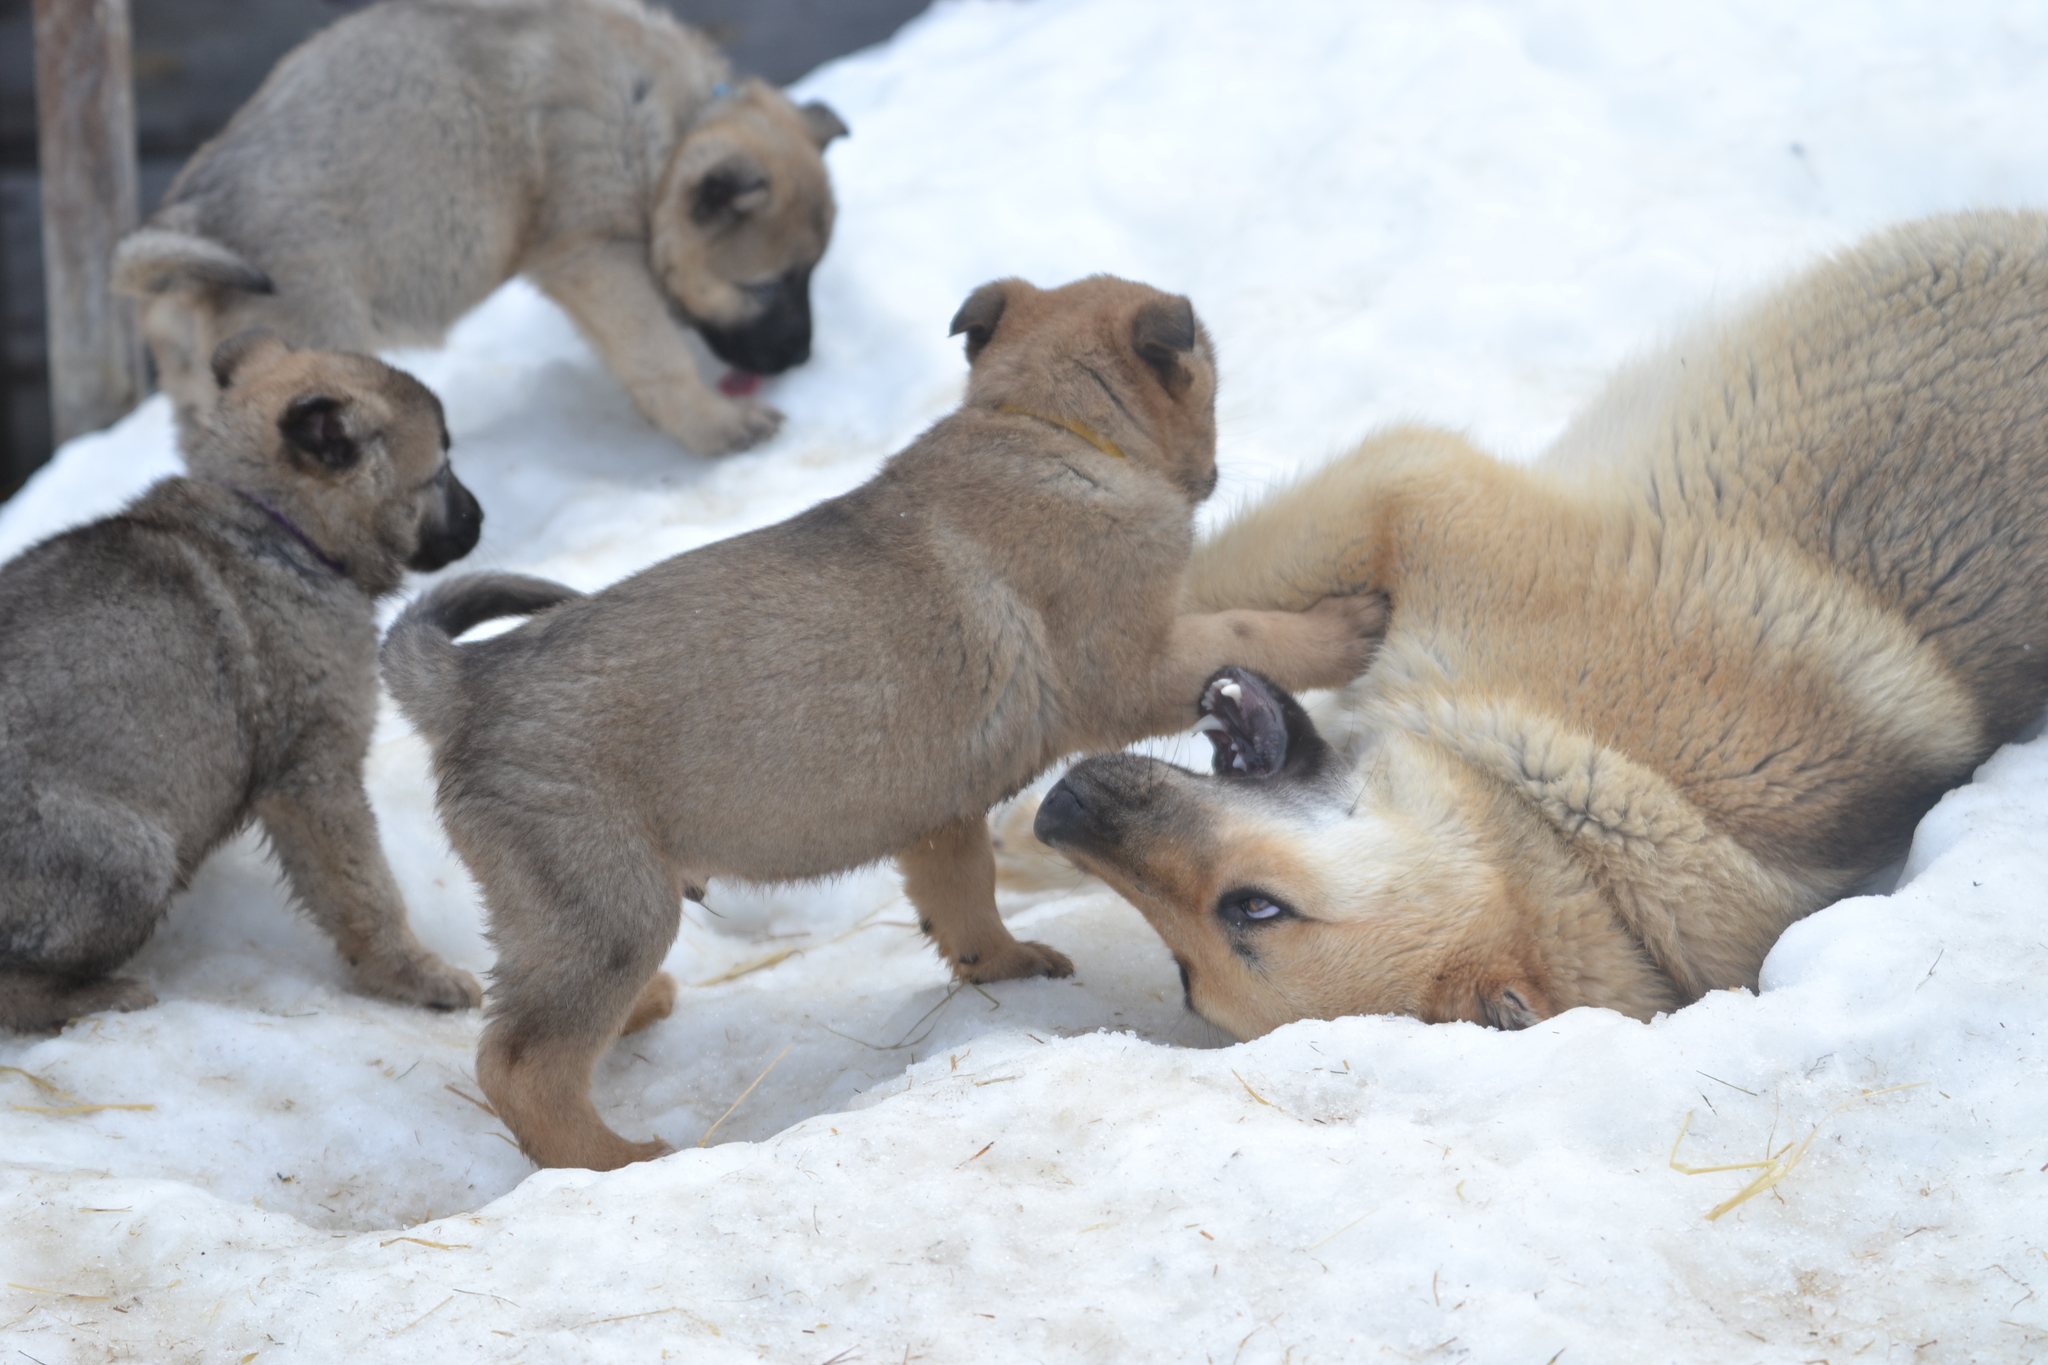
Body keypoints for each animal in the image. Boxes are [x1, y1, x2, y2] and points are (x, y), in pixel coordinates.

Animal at [0, 333, 487, 1035]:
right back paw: (102, 997)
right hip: (132, 856)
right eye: (441, 468)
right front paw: (418, 976)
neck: (276, 521)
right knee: (14, 985)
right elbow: (366, 890)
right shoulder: (314, 778)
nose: (480, 517)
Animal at [110, 0, 847, 458]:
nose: (803, 357)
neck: (665, 126)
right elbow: (657, 355)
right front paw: (716, 426)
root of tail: (188, 220)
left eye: (813, 275)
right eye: (764, 287)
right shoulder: (591, 255)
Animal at [378, 278, 1384, 1178]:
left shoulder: (940, 810)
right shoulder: (1136, 661)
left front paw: (1003, 964)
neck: (1040, 423)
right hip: (609, 902)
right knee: (522, 1061)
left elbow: (965, 895)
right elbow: (1247, 629)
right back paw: (611, 1159)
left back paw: (644, 1016)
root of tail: (466, 682)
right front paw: (1348, 622)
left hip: (564, 914)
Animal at [1040, 213, 2048, 1039]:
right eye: (1182, 972)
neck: (1556, 790)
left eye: (1250, 911)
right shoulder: (1398, 513)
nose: (1063, 811)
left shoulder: (1414, 487)